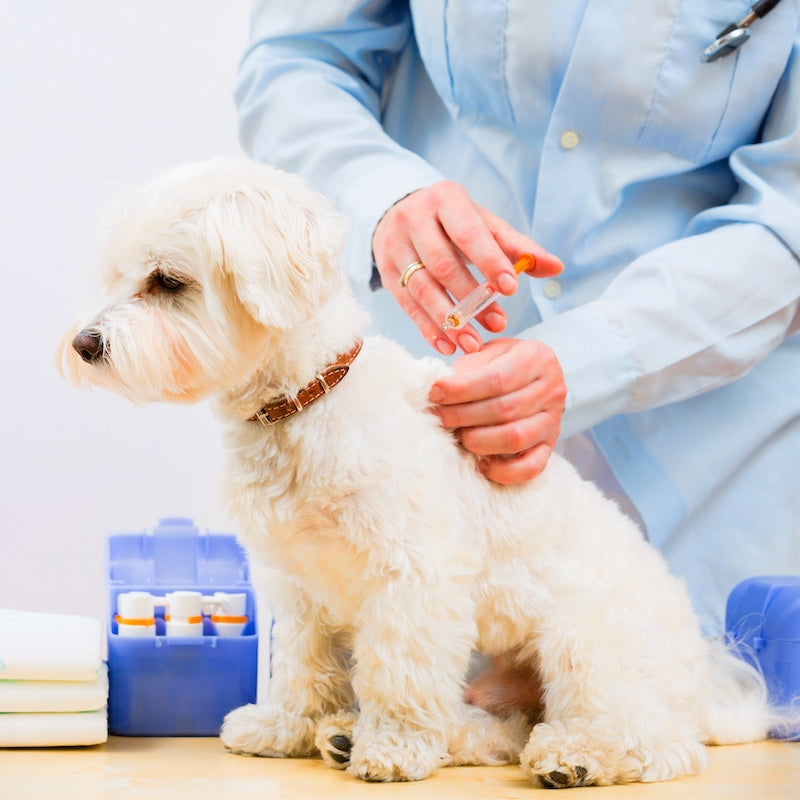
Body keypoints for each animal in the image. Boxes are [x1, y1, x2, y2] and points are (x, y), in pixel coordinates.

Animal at [61, 158, 776, 788]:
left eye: (167, 281)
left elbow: (400, 677)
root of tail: (707, 685)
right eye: (118, 277)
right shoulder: (296, 586)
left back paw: (573, 757)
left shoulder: (413, 581)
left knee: (654, 744)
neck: (306, 402)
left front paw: (394, 749)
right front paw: (288, 728)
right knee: (503, 729)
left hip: (587, 646)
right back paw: (351, 734)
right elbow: (301, 669)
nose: (83, 344)